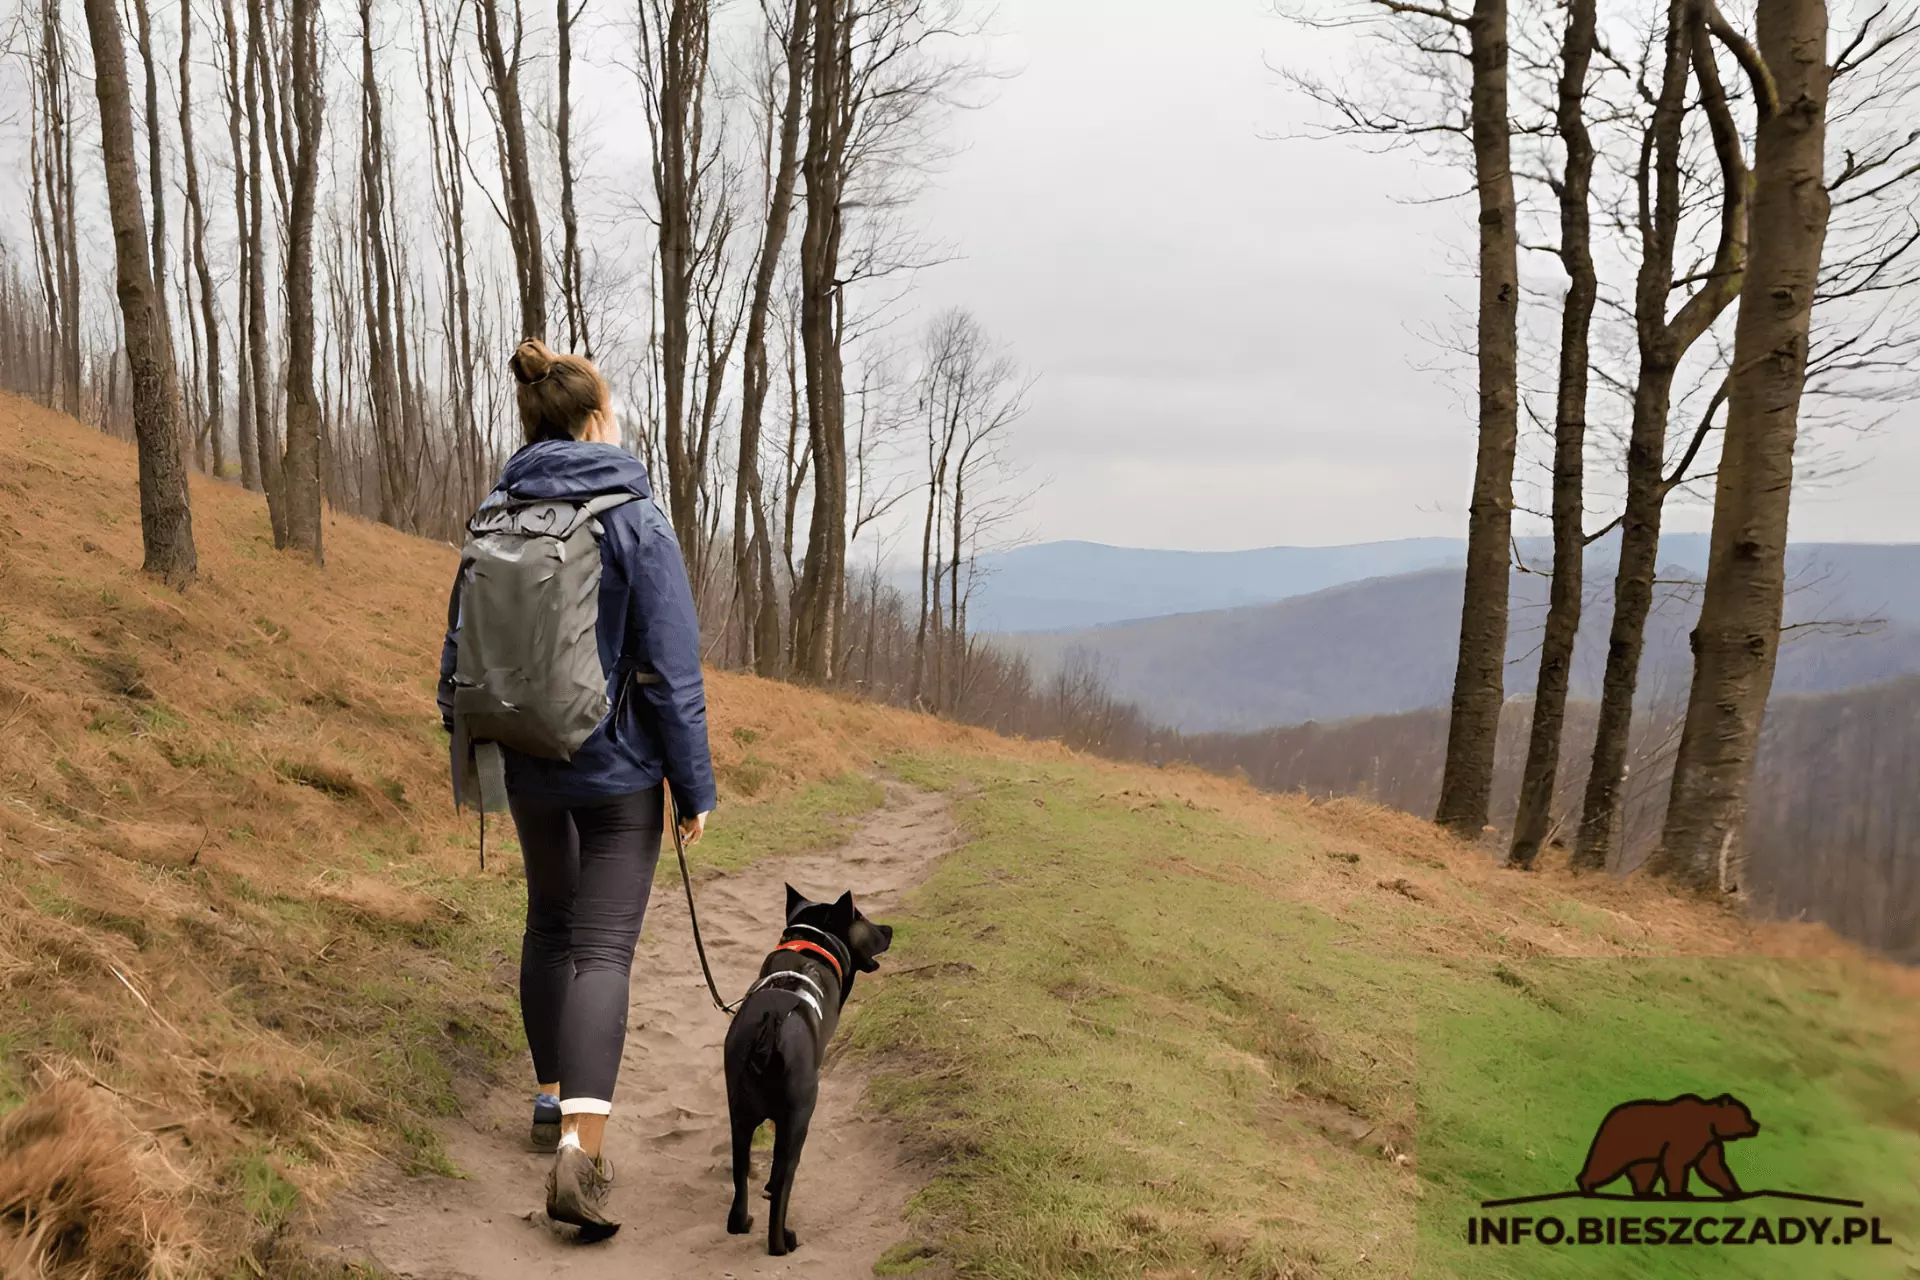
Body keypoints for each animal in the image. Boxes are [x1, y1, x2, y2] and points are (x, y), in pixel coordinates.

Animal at [721, 886, 894, 1258]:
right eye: (862, 917)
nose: (889, 929)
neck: (812, 943)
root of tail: (771, 1026)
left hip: (739, 1117)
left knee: (740, 1180)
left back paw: (742, 1222)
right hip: (798, 1120)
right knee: (781, 1189)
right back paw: (783, 1241)